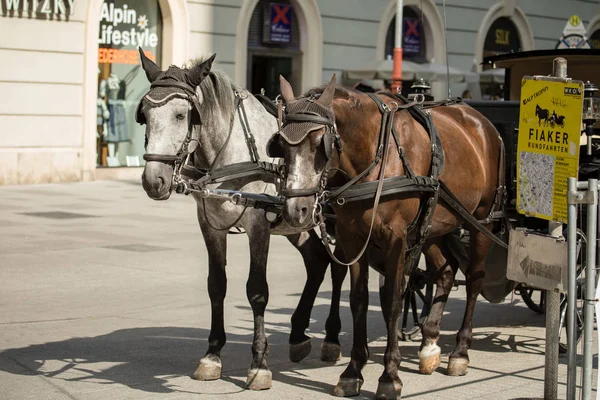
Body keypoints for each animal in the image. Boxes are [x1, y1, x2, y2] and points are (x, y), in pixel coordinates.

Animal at [134, 47, 344, 390]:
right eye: (146, 115)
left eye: (181, 115)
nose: (154, 180)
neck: (229, 153)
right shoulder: (210, 224)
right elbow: (216, 285)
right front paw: (212, 356)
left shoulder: (258, 225)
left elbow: (257, 291)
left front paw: (258, 364)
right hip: (296, 221)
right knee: (317, 262)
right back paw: (299, 335)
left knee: (339, 270)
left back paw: (332, 337)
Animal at [274, 74, 504, 396]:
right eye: (280, 144)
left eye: (321, 143)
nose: (297, 209)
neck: (377, 154)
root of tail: (480, 121)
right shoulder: (351, 237)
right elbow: (358, 299)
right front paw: (353, 371)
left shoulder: (396, 239)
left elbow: (394, 299)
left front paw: (390, 375)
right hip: (434, 225)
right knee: (445, 272)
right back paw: (429, 344)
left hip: (482, 220)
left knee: (473, 279)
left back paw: (459, 352)